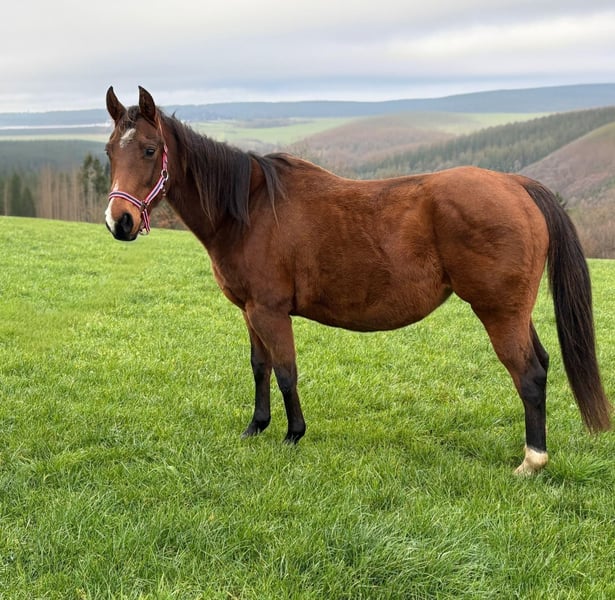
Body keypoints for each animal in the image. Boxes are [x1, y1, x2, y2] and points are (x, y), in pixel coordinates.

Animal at [104, 86, 611, 474]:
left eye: (150, 149)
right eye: (110, 151)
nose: (119, 222)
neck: (248, 209)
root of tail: (516, 184)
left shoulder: (270, 310)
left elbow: (286, 371)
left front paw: (293, 435)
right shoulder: (250, 311)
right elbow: (260, 368)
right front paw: (256, 427)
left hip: (499, 312)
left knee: (528, 374)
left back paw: (532, 460)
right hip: (515, 312)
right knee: (541, 364)